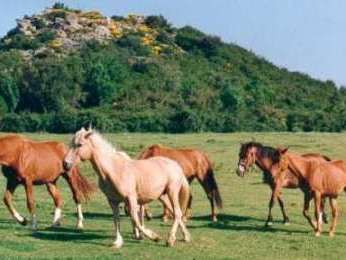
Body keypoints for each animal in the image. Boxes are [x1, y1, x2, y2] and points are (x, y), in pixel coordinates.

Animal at [62, 128, 192, 248]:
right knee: (175, 213)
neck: (114, 170)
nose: (65, 164)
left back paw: (170, 239)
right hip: (163, 196)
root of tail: (176, 165)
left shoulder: (131, 198)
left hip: (172, 192)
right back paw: (186, 236)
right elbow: (116, 219)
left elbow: (135, 219)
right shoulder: (113, 201)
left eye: (79, 144)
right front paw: (118, 242)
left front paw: (154, 237)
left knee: (177, 213)